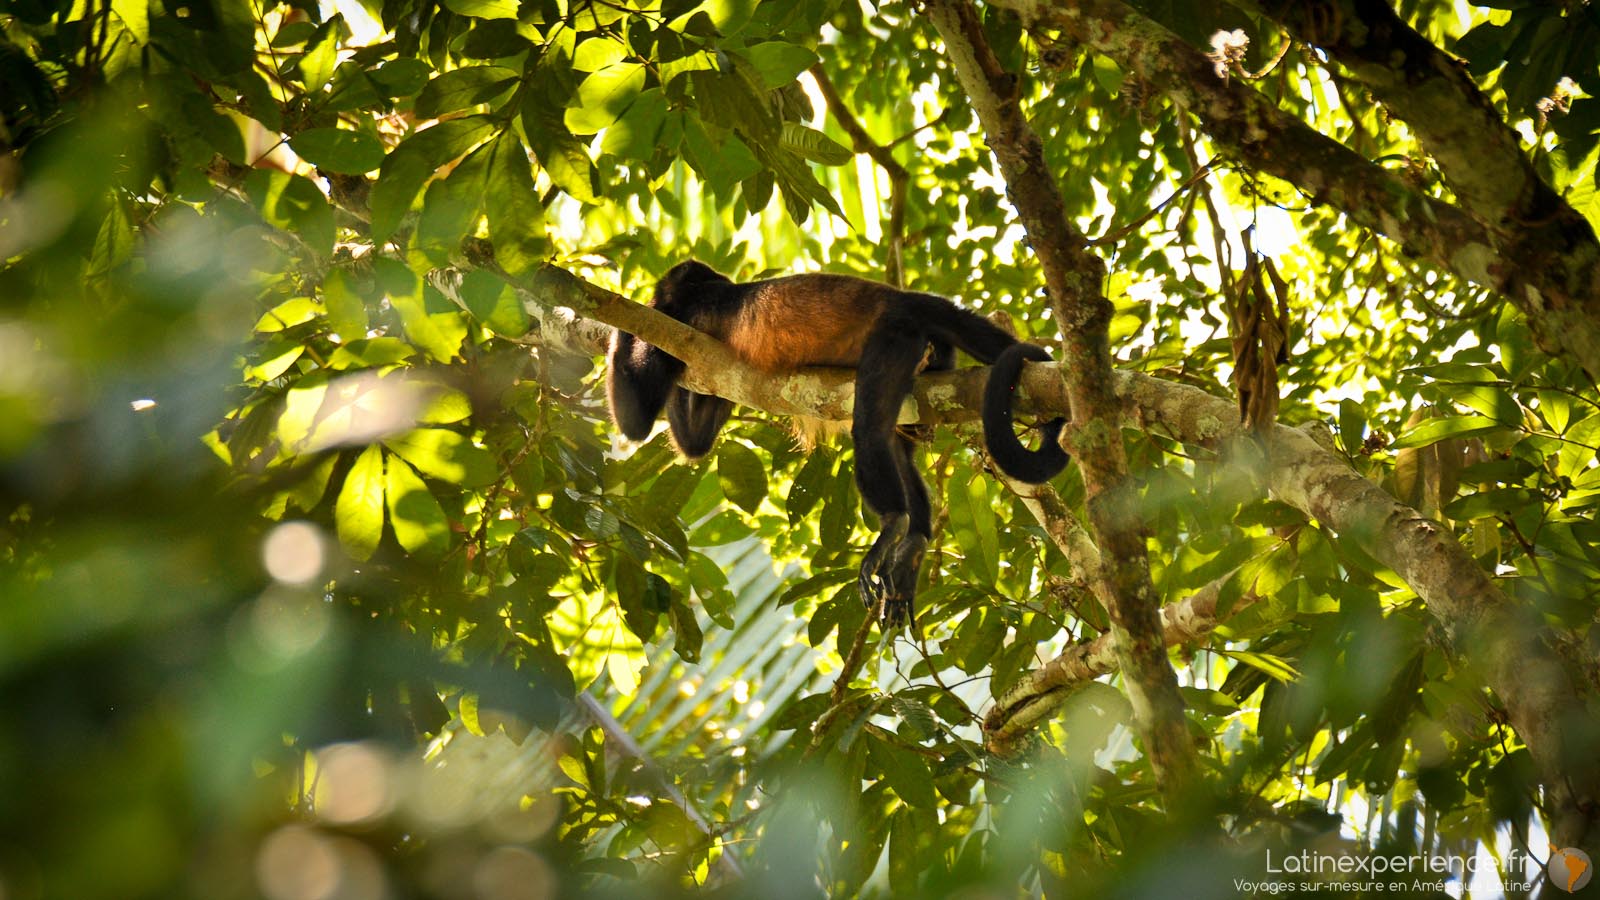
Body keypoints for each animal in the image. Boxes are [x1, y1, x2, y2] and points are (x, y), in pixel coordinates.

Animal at [607, 261, 1068, 629]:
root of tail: (905, 299)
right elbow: (696, 442)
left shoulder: (682, 324)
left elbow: (636, 419)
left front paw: (617, 313)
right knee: (896, 443)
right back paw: (914, 543)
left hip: (893, 337)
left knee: (869, 430)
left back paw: (895, 524)